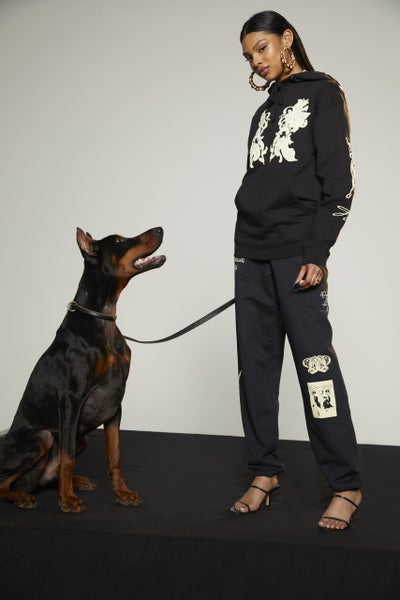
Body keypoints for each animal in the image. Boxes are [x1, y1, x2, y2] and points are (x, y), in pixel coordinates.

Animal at [0, 226, 165, 512]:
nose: (160, 229)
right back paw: (24, 496)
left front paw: (122, 493)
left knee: (46, 477)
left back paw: (75, 482)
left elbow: (115, 456)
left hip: (82, 437)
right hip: (43, 436)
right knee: (4, 483)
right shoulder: (71, 399)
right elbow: (67, 457)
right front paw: (67, 500)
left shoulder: (114, 402)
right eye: (119, 241)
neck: (102, 318)